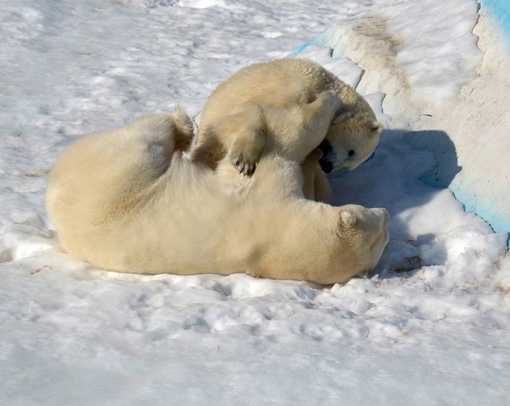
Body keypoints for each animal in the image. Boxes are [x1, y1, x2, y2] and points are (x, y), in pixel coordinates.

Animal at [48, 93, 390, 286]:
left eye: (383, 233)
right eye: (379, 224)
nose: (386, 212)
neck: (272, 238)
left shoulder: (266, 197)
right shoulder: (267, 190)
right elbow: (290, 136)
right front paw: (332, 99)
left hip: (120, 174)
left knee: (149, 136)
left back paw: (182, 127)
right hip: (120, 176)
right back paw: (185, 126)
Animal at [190, 56, 382, 201]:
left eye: (348, 167)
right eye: (352, 152)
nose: (328, 167)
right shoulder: (294, 85)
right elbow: (251, 110)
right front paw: (245, 161)